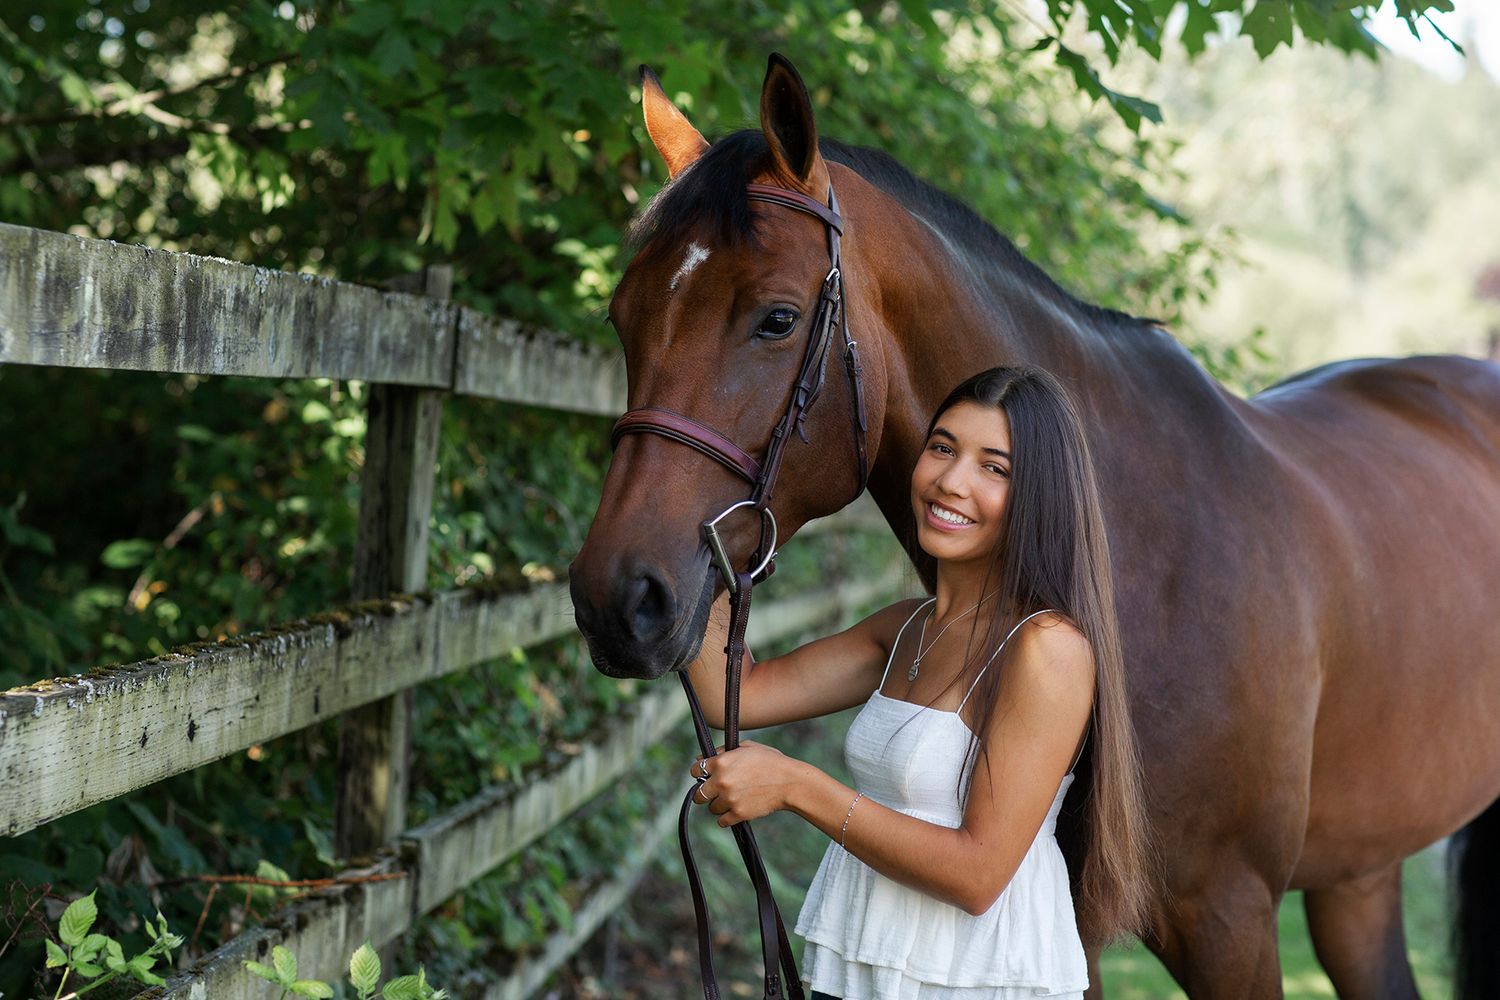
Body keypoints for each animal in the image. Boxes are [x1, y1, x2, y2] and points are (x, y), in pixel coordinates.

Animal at [568, 54, 1500, 999]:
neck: (1133, 562)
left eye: (778, 318)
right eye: (621, 316)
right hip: (1360, 870)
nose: (618, 599)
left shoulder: (1227, 917)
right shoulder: (1068, 926)